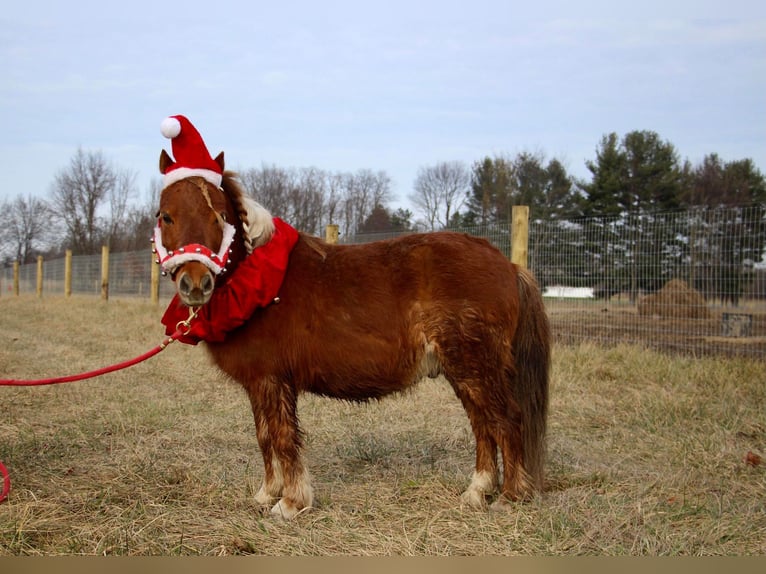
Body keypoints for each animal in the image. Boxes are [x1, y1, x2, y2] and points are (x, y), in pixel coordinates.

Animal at [156, 151, 552, 520]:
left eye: (220, 217)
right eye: (165, 216)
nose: (195, 283)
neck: (259, 280)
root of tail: (508, 264)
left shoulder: (272, 380)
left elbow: (282, 438)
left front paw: (290, 503)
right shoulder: (259, 383)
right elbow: (265, 436)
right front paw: (267, 494)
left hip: (476, 369)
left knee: (505, 421)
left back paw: (510, 497)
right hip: (465, 372)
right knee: (484, 425)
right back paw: (477, 493)